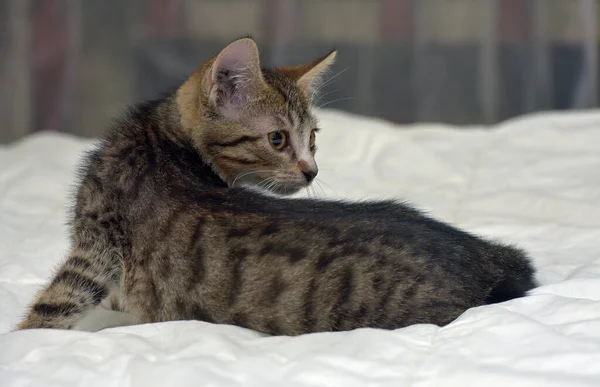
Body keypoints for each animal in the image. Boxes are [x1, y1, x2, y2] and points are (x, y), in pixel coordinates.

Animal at [17, 38, 536, 334]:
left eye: (314, 138)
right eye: (279, 139)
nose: (312, 171)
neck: (163, 140)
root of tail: (487, 256)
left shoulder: (95, 247)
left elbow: (51, 308)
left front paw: (24, 338)